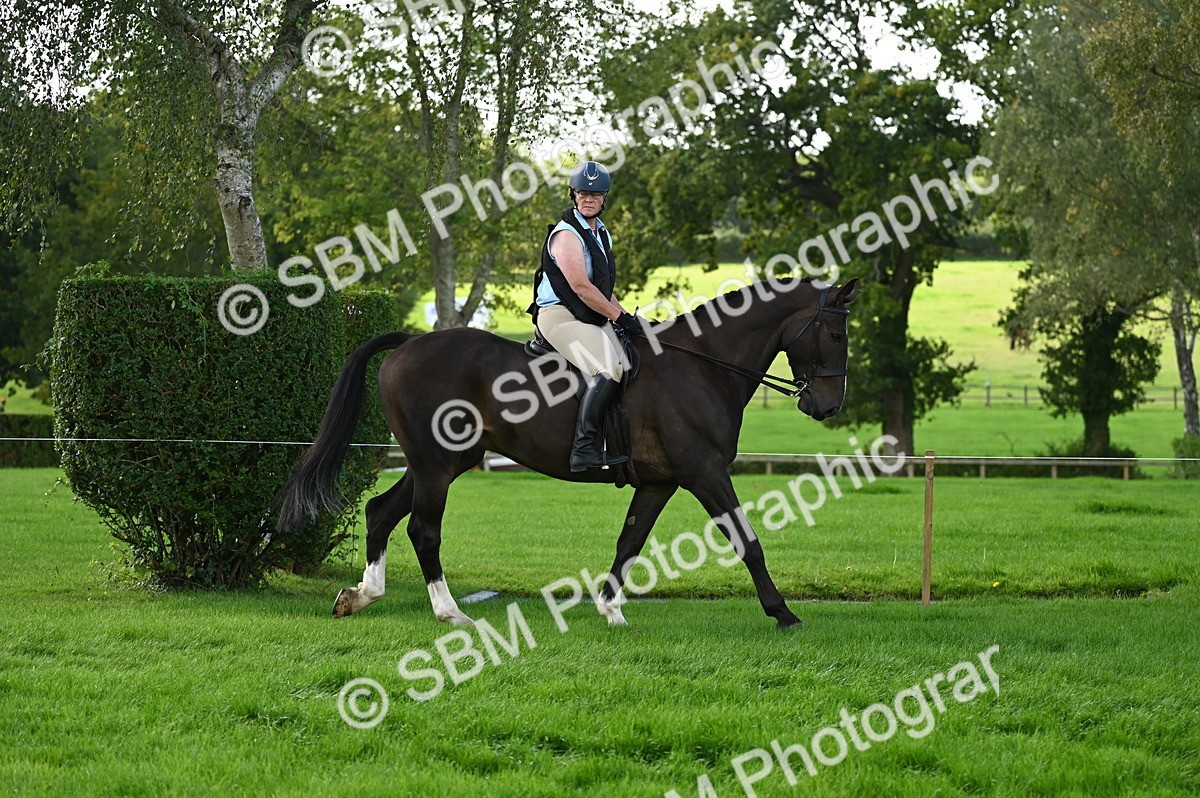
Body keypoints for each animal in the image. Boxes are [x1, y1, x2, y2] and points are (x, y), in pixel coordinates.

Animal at [276, 276, 861, 629]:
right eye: (835, 334)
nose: (828, 405)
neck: (702, 365)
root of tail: (409, 343)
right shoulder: (705, 472)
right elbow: (747, 540)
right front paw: (783, 612)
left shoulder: (661, 481)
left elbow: (630, 542)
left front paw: (610, 610)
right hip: (438, 463)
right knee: (422, 528)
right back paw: (450, 614)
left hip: (441, 462)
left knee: (382, 511)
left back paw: (363, 595)